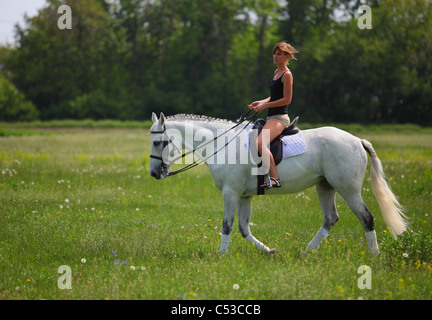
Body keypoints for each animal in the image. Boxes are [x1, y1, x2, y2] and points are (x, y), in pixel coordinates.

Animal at [149, 112, 408, 255]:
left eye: (157, 142)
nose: (153, 173)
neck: (223, 144)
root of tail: (357, 140)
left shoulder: (230, 193)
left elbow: (228, 225)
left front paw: (220, 255)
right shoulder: (244, 195)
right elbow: (243, 228)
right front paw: (269, 251)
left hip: (348, 189)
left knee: (366, 218)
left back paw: (373, 255)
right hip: (325, 186)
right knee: (331, 218)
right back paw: (306, 252)